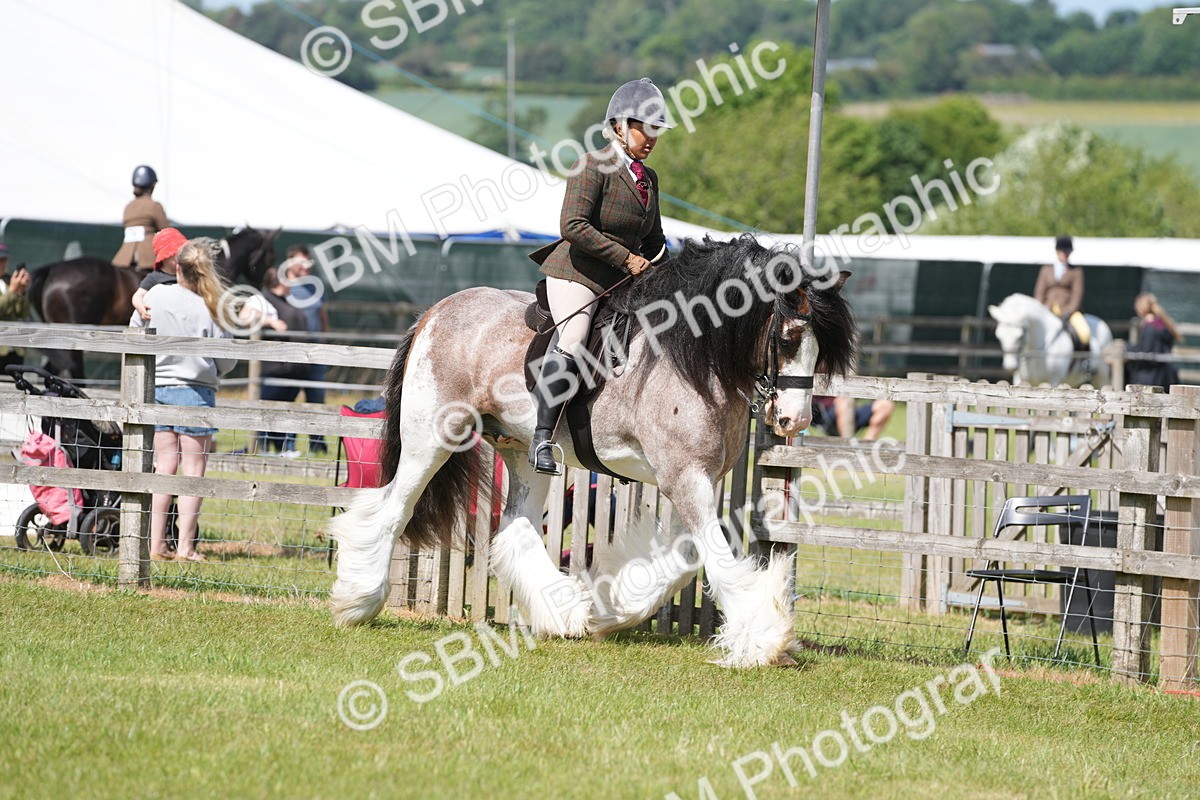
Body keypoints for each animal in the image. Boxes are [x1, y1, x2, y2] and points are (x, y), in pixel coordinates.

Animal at [326, 235, 857, 667]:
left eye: (820, 349)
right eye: (788, 338)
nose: (794, 421)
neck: (694, 357)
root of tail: (437, 311)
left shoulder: (692, 478)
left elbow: (687, 556)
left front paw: (611, 608)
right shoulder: (685, 477)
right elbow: (716, 557)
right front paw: (764, 640)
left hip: (523, 450)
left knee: (515, 527)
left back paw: (565, 614)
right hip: (433, 438)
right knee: (393, 510)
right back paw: (359, 601)